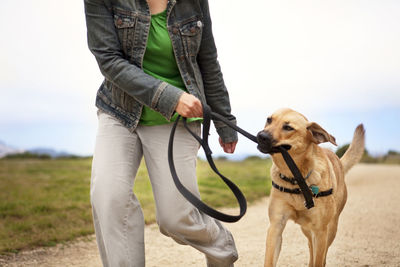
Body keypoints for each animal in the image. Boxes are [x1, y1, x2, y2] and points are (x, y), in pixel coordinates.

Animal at [256, 109, 366, 267]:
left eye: (288, 127)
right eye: (269, 120)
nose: (260, 136)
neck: (296, 178)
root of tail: (338, 160)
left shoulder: (320, 231)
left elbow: (319, 260)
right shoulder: (276, 226)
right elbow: (270, 260)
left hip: (331, 229)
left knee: (322, 254)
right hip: (306, 229)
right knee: (310, 247)